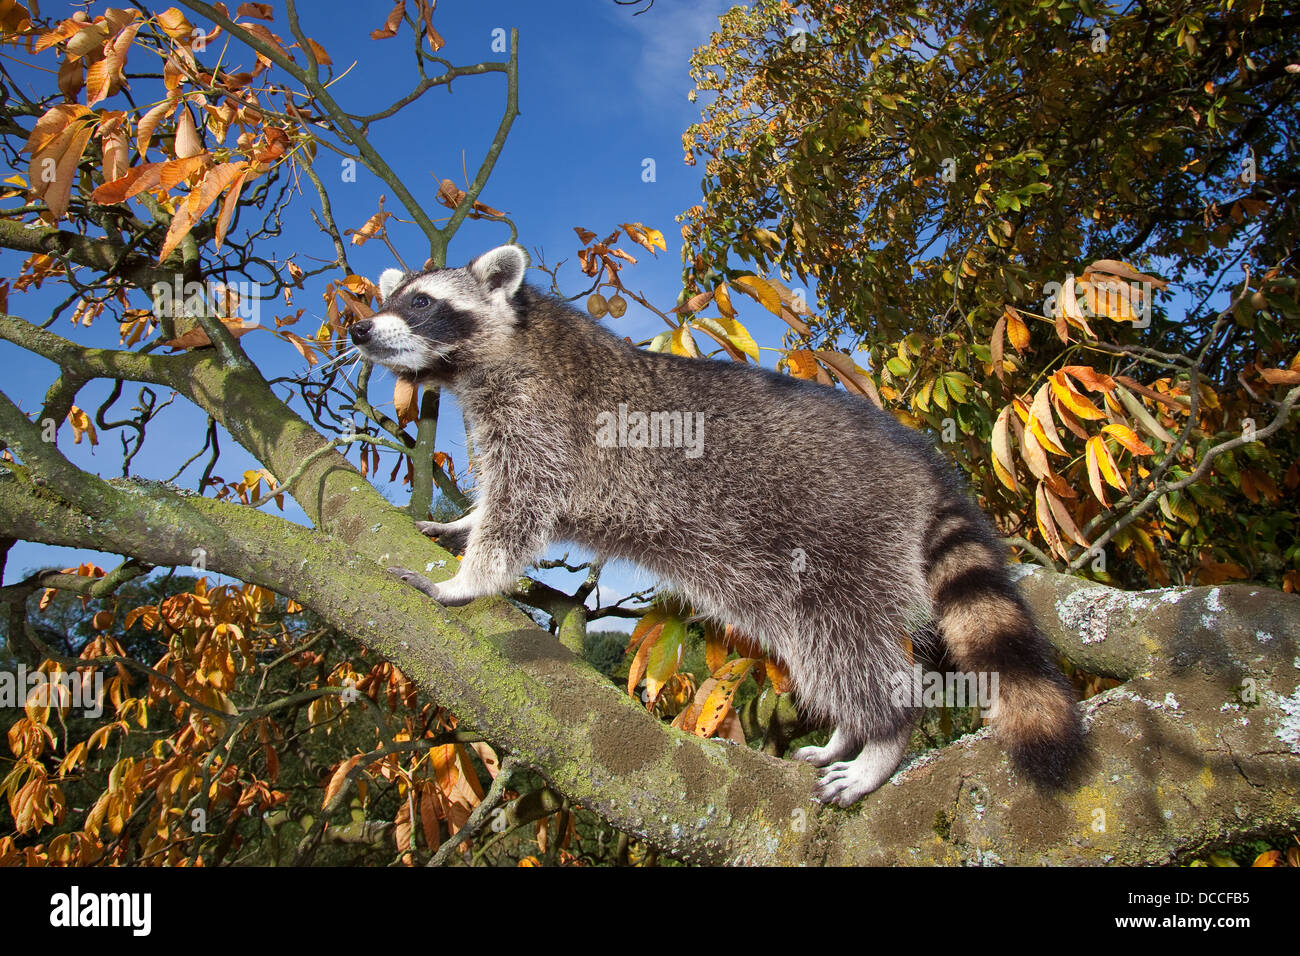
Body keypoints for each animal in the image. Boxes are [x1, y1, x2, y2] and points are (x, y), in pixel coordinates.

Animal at [351, 243, 1081, 806]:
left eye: (421, 305)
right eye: (393, 299)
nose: (359, 331)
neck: (499, 350)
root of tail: (921, 464)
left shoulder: (547, 418)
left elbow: (521, 511)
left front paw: (468, 579)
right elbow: (504, 502)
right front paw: (462, 524)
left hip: (845, 530)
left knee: (844, 638)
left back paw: (885, 730)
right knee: (813, 643)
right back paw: (849, 728)